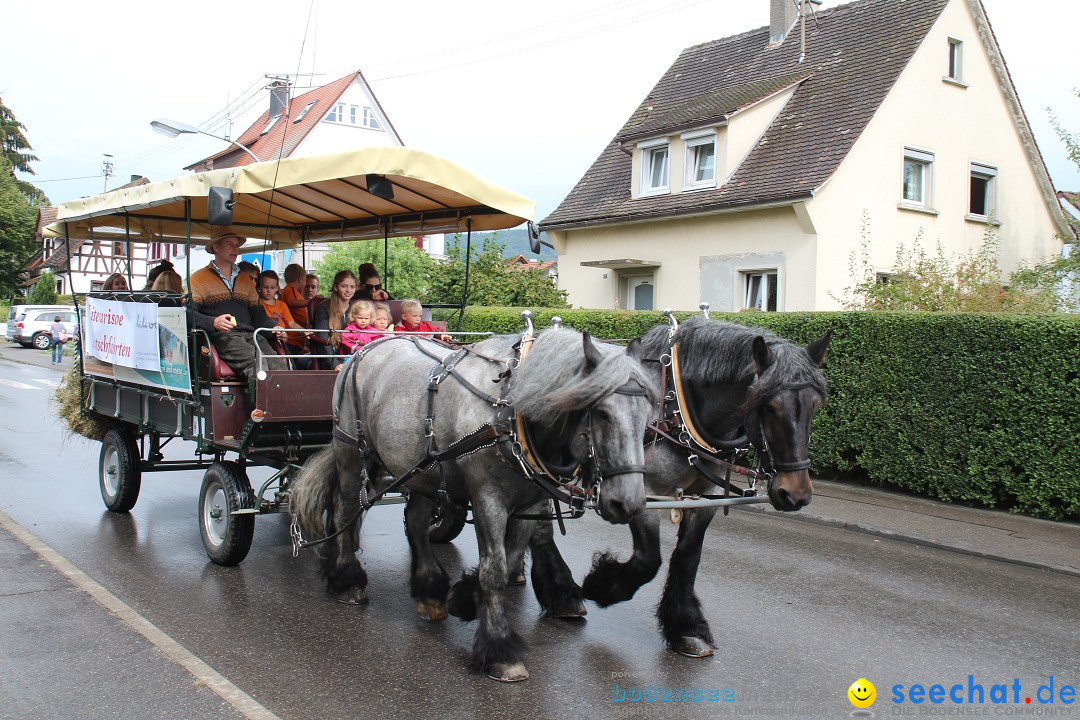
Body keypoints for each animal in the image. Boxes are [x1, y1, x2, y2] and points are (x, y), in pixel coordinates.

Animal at [291, 330, 652, 686]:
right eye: (602, 413)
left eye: (648, 418)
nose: (628, 501)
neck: (508, 408)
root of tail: (368, 347)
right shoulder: (487, 499)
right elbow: (494, 572)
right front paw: (500, 649)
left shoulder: (530, 501)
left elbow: (510, 560)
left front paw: (465, 597)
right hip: (353, 452)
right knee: (344, 508)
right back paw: (348, 580)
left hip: (420, 468)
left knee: (416, 522)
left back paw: (430, 592)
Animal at [527, 317, 829, 660]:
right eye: (770, 407)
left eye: (816, 405)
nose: (796, 493)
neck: (677, 408)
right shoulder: (642, 491)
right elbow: (648, 560)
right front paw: (603, 586)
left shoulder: (706, 496)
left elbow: (688, 557)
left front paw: (687, 626)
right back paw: (561, 593)